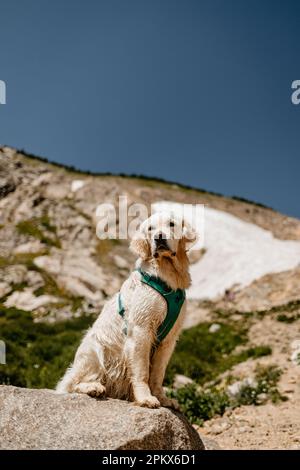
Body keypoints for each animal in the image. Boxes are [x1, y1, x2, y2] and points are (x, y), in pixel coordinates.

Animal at [56, 212, 197, 408]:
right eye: (150, 228)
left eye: (171, 224)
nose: (159, 238)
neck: (167, 277)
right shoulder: (141, 330)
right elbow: (142, 372)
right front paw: (146, 398)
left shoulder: (169, 339)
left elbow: (158, 374)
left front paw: (163, 398)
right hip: (94, 349)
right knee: (72, 384)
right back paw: (93, 387)